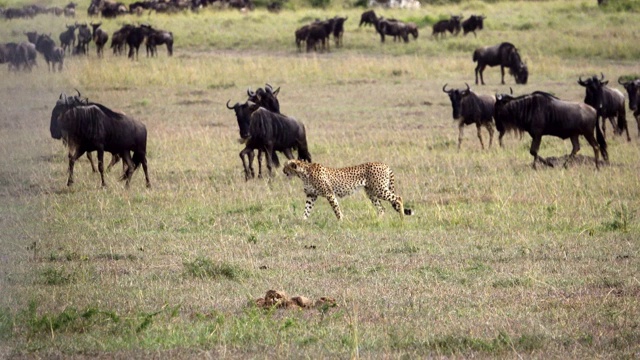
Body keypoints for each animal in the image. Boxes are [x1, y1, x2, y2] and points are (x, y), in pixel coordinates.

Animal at [282, 160, 412, 221]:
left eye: (285, 166)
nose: (283, 171)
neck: (303, 173)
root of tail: (384, 164)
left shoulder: (329, 193)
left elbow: (336, 208)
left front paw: (341, 221)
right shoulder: (311, 195)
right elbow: (307, 209)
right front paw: (302, 220)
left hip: (380, 189)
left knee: (398, 198)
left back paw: (402, 218)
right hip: (371, 192)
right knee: (382, 208)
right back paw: (376, 220)